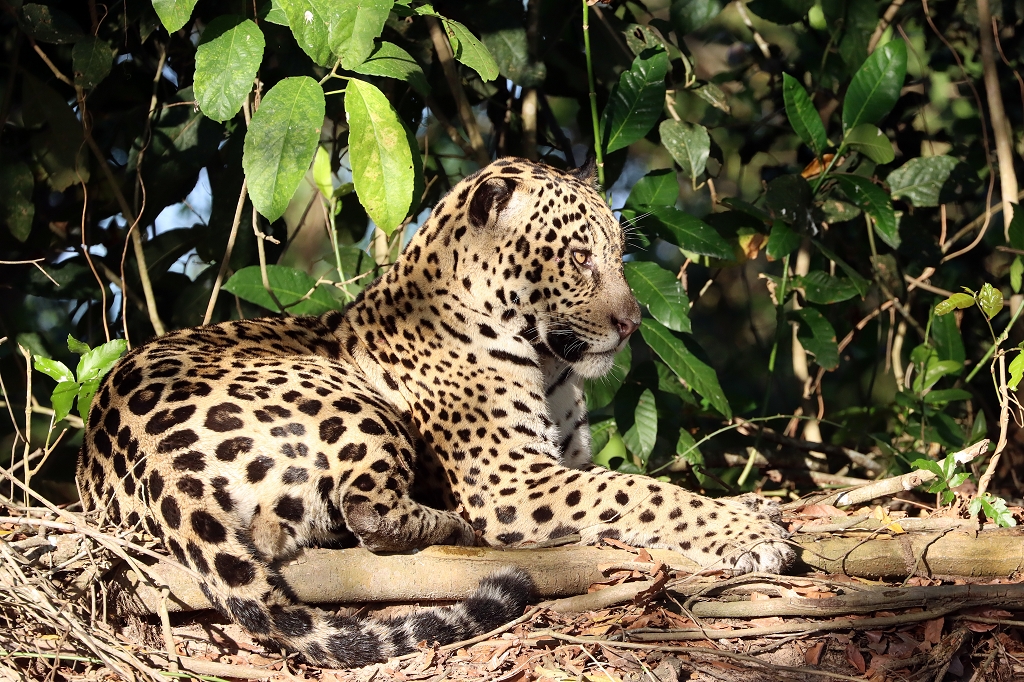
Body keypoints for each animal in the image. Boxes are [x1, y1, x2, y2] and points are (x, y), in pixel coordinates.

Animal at [77, 156, 794, 669]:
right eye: (578, 257)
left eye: (620, 254)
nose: (631, 322)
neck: (549, 365)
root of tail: (133, 453)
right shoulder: (510, 481)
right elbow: (640, 491)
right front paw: (747, 534)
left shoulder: (561, 458)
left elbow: (649, 483)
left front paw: (756, 506)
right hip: (350, 401)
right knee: (367, 512)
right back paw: (455, 528)